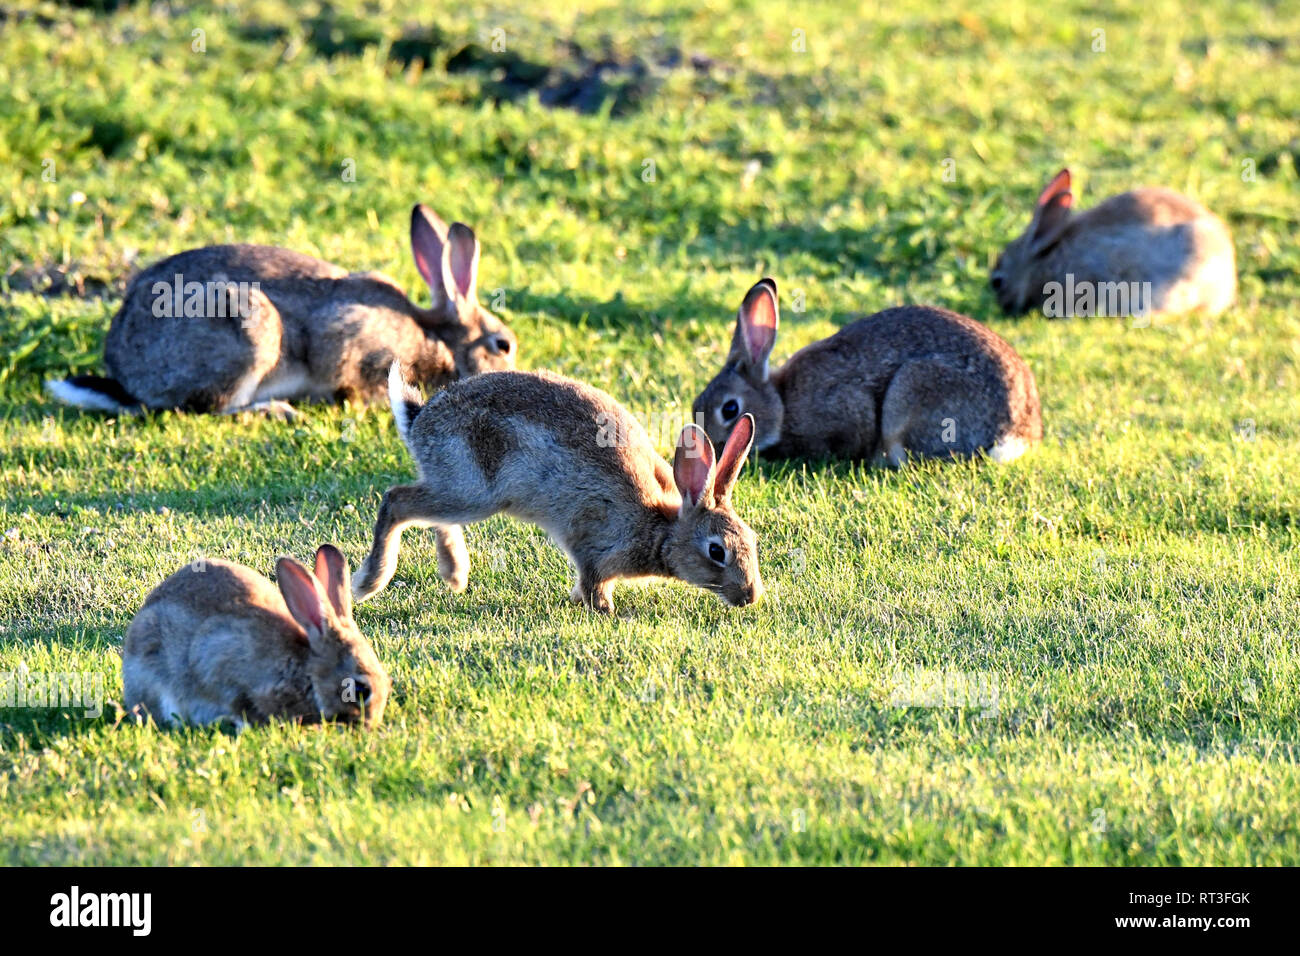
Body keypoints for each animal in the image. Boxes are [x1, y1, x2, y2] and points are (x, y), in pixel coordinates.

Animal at [46, 205, 516, 416]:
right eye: (503, 344)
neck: (434, 336)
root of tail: (126, 377)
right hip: (250, 331)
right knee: (211, 407)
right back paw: (275, 410)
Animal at [351, 364, 764, 614]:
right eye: (716, 551)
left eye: (753, 542)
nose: (750, 596)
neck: (660, 528)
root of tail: (420, 419)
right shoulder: (594, 550)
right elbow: (594, 584)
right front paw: (606, 612)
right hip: (472, 491)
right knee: (396, 502)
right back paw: (368, 582)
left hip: (456, 489)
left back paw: (454, 573)